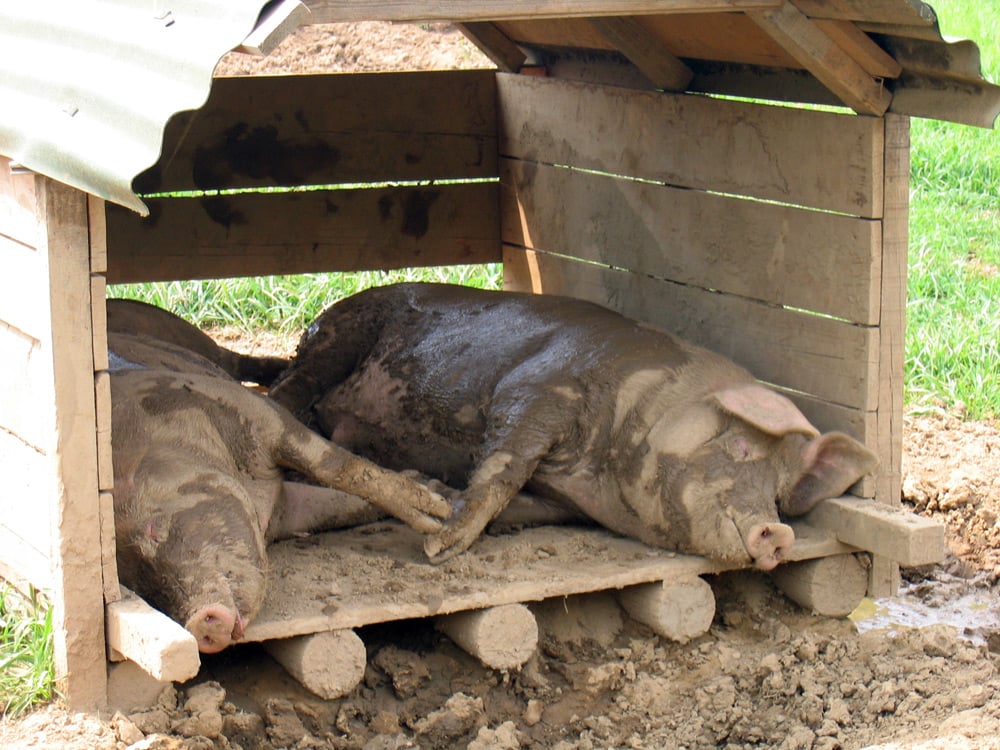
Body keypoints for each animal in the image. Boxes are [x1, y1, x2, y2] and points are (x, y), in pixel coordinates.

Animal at [107, 328, 448, 652]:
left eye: (154, 531)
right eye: (138, 586)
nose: (198, 622)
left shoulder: (256, 411)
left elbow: (337, 468)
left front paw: (438, 511)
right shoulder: (288, 508)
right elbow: (336, 507)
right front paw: (434, 490)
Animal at [270, 284, 880, 568]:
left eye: (781, 490)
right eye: (742, 447)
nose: (777, 532)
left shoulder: (565, 502)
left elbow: (523, 508)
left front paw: (436, 493)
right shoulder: (540, 387)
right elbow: (506, 463)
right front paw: (441, 545)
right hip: (339, 335)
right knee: (288, 392)